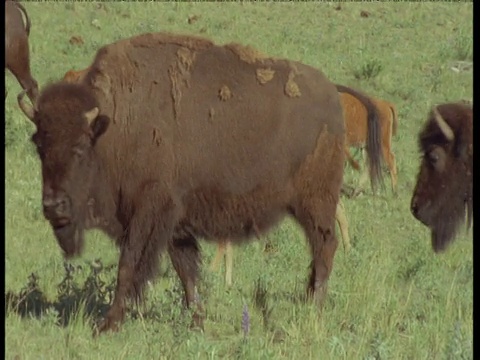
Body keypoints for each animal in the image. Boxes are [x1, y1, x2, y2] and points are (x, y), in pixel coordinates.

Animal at [16, 32, 382, 334]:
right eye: (39, 145)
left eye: (80, 147)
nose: (53, 206)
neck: (112, 126)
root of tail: (333, 90)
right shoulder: (176, 224)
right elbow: (186, 272)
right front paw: (197, 321)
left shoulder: (149, 212)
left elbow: (129, 265)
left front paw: (108, 325)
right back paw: (308, 301)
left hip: (315, 202)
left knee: (325, 246)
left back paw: (314, 309)